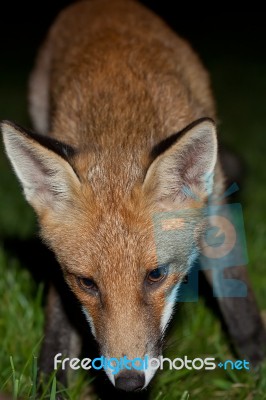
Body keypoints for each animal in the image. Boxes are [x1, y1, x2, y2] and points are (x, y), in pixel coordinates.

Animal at [1, 0, 264, 394]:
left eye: (156, 275)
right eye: (87, 283)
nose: (128, 382)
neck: (119, 121)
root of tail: (104, 4)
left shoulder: (216, 204)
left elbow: (240, 304)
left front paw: (259, 364)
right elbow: (58, 324)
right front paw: (50, 386)